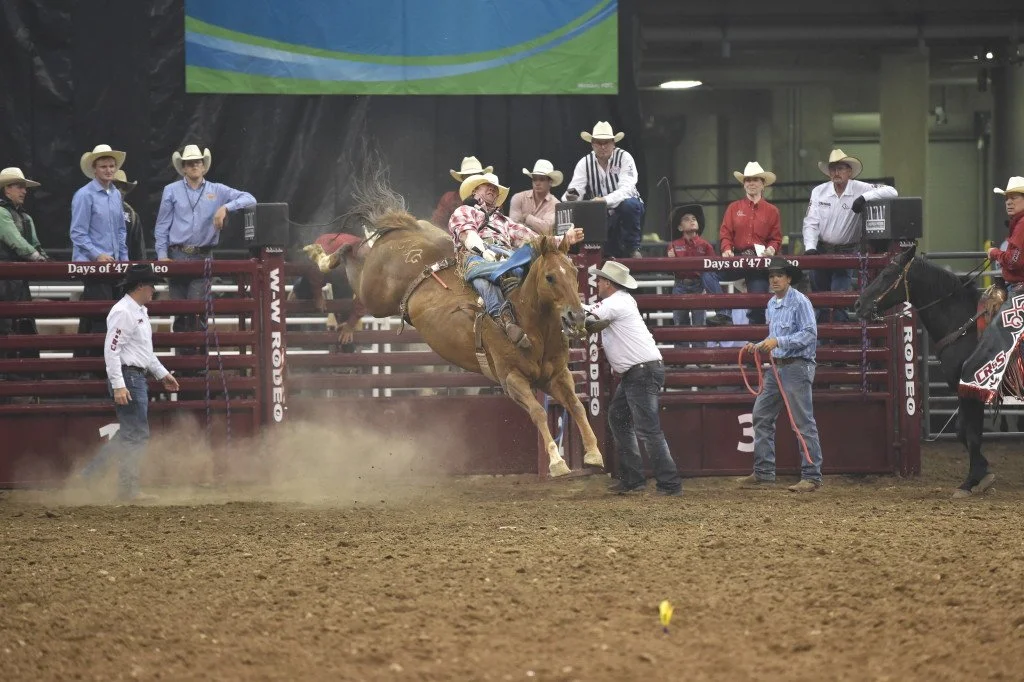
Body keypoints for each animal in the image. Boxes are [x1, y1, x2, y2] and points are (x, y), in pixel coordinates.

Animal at [304, 195, 604, 478]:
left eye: (574, 272)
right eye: (550, 277)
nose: (577, 316)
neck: (528, 320)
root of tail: (406, 229)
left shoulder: (556, 375)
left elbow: (576, 406)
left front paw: (594, 454)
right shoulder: (511, 380)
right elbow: (539, 412)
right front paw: (557, 462)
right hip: (373, 294)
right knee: (351, 255)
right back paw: (322, 255)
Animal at [853, 244, 995, 498]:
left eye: (887, 274)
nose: (859, 305)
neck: (964, 326)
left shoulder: (972, 388)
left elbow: (971, 434)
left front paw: (971, 481)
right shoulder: (962, 390)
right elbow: (962, 431)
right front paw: (982, 472)